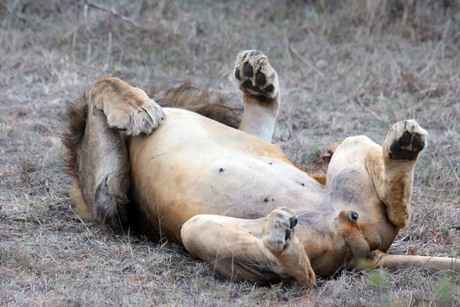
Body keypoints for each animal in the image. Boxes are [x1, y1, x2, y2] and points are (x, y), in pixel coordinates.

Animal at [63, 49, 458, 288]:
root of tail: (364, 249)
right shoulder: (109, 198)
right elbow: (101, 84)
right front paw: (139, 109)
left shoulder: (250, 137)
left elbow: (100, 84)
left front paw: (257, 80)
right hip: (197, 228)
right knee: (303, 274)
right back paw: (280, 236)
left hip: (354, 146)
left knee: (395, 212)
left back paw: (403, 148)